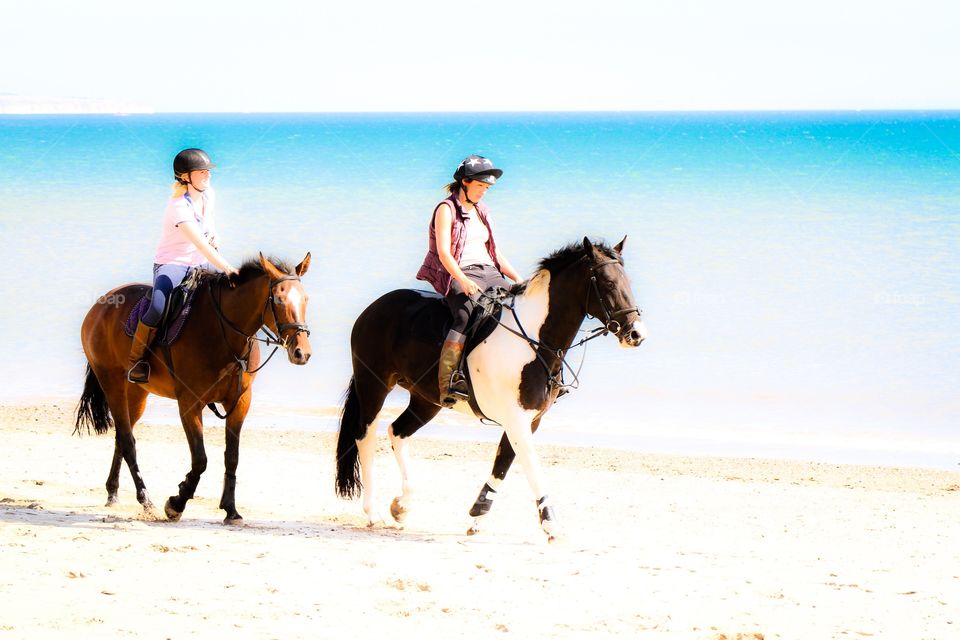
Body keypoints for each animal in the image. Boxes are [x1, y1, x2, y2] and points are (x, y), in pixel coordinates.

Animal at [75, 253, 312, 524]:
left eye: (305, 298)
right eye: (279, 299)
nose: (302, 353)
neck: (225, 333)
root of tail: (102, 303)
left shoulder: (240, 402)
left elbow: (232, 457)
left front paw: (231, 510)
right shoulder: (190, 402)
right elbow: (200, 459)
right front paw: (176, 503)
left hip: (136, 393)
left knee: (122, 437)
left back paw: (113, 493)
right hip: (111, 382)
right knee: (127, 439)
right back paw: (146, 501)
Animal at [335, 237, 646, 541]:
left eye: (627, 282)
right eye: (608, 283)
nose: (636, 334)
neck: (533, 340)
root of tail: (375, 307)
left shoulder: (528, 419)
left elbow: (503, 464)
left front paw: (478, 515)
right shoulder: (516, 419)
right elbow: (531, 465)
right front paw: (551, 524)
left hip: (427, 400)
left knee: (397, 432)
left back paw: (402, 505)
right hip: (373, 385)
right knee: (365, 437)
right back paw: (372, 512)